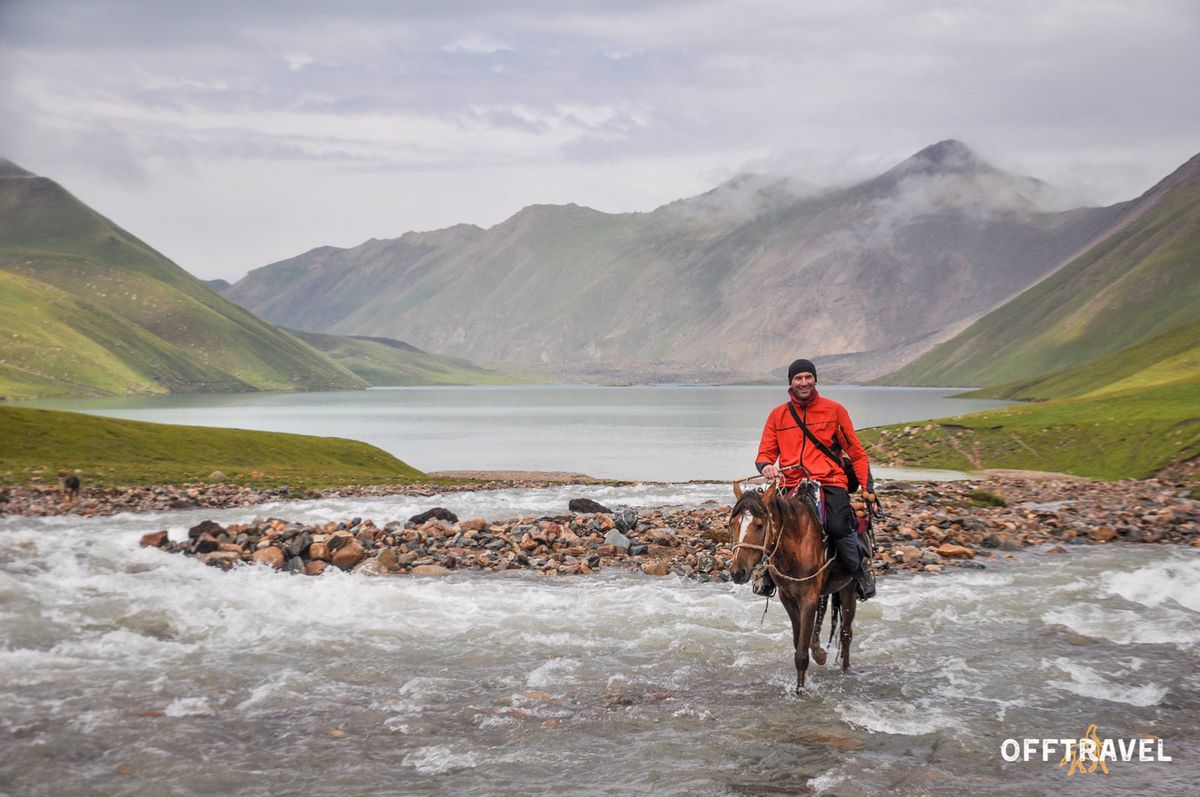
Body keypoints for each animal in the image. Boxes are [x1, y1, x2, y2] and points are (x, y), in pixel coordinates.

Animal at [724, 480, 859, 691]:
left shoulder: (808, 598)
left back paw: (845, 671)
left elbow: (802, 653)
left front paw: (800, 690)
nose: (738, 572)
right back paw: (819, 653)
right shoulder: (788, 598)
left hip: (848, 588)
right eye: (733, 524)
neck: (796, 544)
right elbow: (799, 642)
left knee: (846, 633)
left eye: (760, 525)